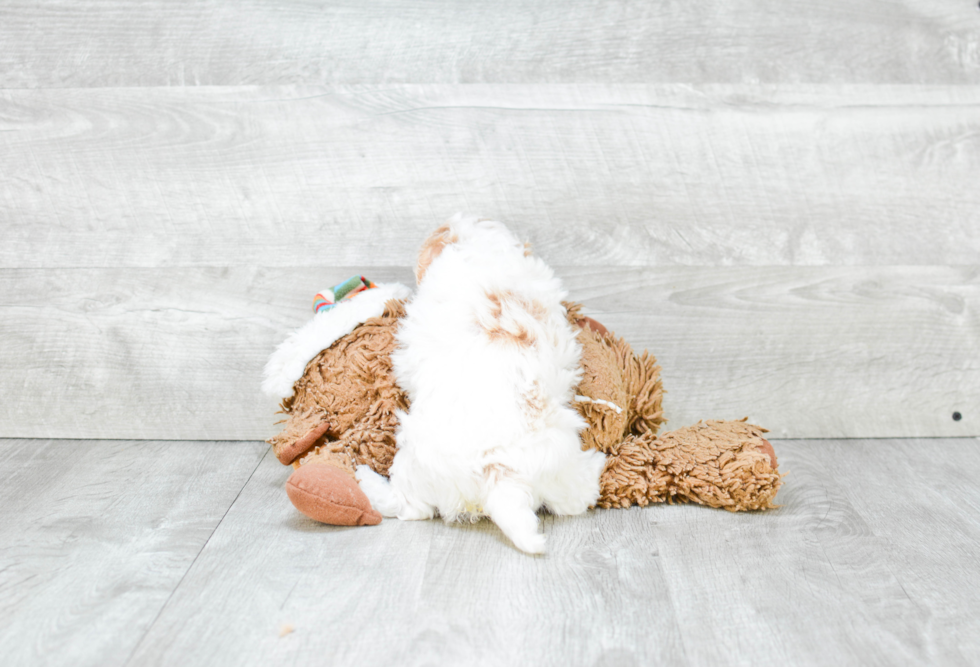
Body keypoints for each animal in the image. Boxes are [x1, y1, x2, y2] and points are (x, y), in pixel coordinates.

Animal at [356, 214, 608, 552]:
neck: (484, 251)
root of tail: (498, 472)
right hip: (559, 471)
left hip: (413, 464)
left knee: (405, 507)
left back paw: (365, 479)